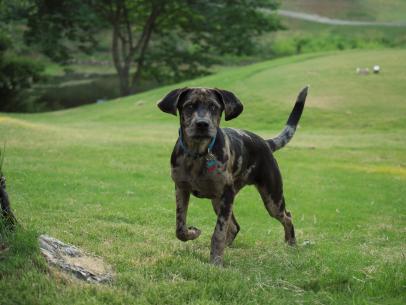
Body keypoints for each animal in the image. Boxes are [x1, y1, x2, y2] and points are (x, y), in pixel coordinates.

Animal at [158, 85, 308, 264]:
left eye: (214, 107)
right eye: (189, 106)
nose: (202, 124)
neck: (198, 155)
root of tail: (265, 142)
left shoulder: (227, 194)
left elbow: (218, 233)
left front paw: (216, 262)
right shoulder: (181, 189)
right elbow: (180, 228)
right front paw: (193, 233)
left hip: (272, 199)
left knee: (287, 216)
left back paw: (291, 243)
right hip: (218, 202)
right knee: (235, 227)